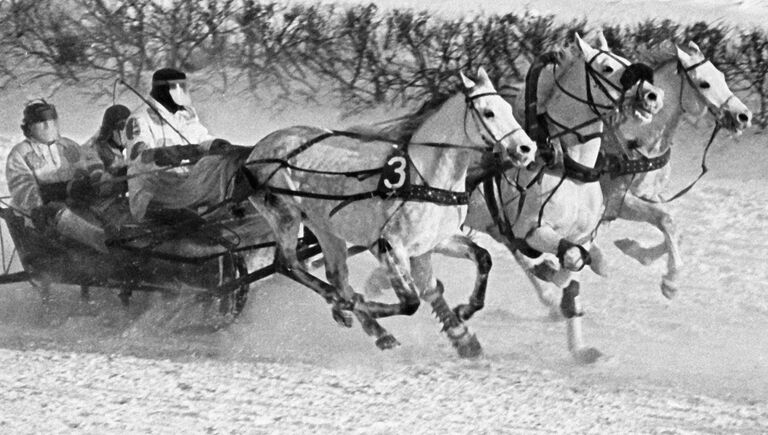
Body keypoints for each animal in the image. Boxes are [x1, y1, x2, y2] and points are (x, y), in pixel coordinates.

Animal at [240, 68, 536, 358]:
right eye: (488, 112)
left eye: (508, 108)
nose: (526, 149)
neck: (425, 181)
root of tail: (257, 151)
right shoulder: (390, 247)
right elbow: (410, 303)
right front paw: (356, 304)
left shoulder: (437, 241)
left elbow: (482, 259)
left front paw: (465, 311)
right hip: (286, 217)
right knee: (288, 264)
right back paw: (347, 307)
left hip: (324, 227)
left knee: (335, 275)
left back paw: (373, 328)